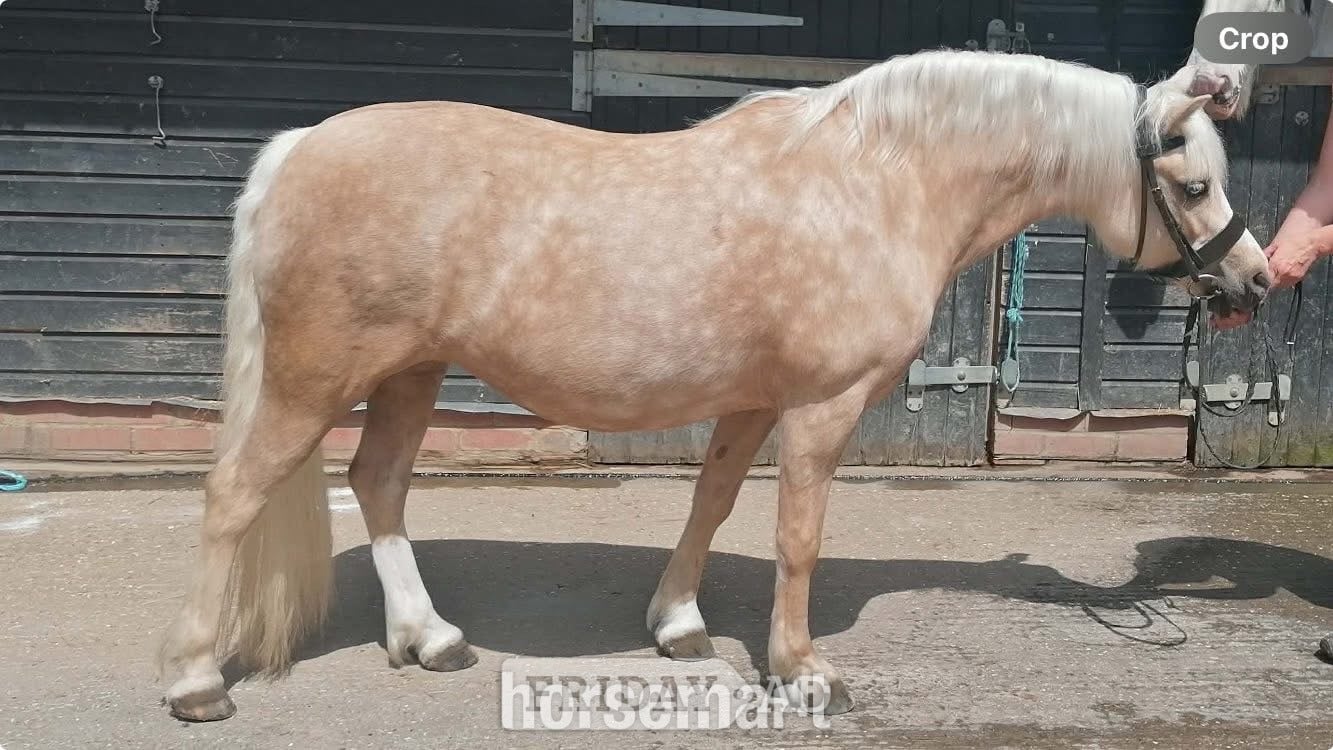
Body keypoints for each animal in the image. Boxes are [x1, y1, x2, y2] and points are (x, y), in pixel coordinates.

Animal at [156, 49, 1271, 721]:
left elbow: (714, 502)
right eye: (1193, 184)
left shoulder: (752, 399)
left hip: (410, 373)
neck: (878, 184)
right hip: (314, 379)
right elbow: (795, 537)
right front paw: (801, 671)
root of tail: (299, 148)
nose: (1253, 282)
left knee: (379, 486)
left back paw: (428, 640)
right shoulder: (822, 405)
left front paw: (679, 625)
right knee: (231, 497)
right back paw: (198, 679)